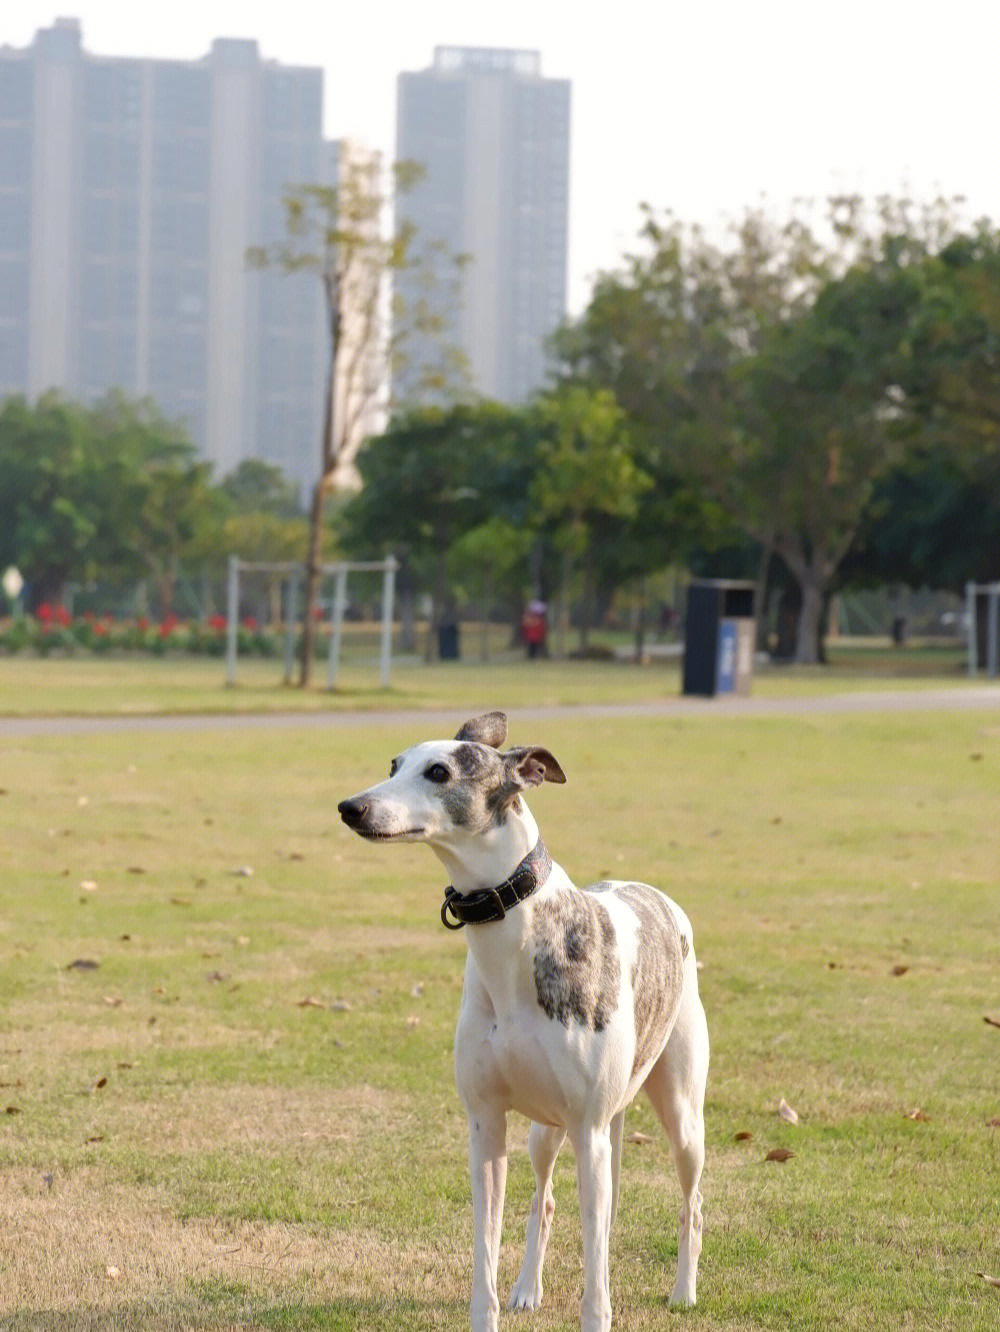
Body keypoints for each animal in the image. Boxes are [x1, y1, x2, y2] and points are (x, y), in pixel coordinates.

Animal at [340, 713, 708, 1332]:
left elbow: (597, 1277)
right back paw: (528, 1287)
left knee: (689, 1201)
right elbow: (486, 1252)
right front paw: (496, 1301)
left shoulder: (590, 1129)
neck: (516, 937)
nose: (351, 806)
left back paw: (684, 1289)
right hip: (545, 1130)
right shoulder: (487, 1125)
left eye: (439, 772)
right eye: (394, 765)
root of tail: (657, 895)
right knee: (545, 1198)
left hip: (678, 1117)